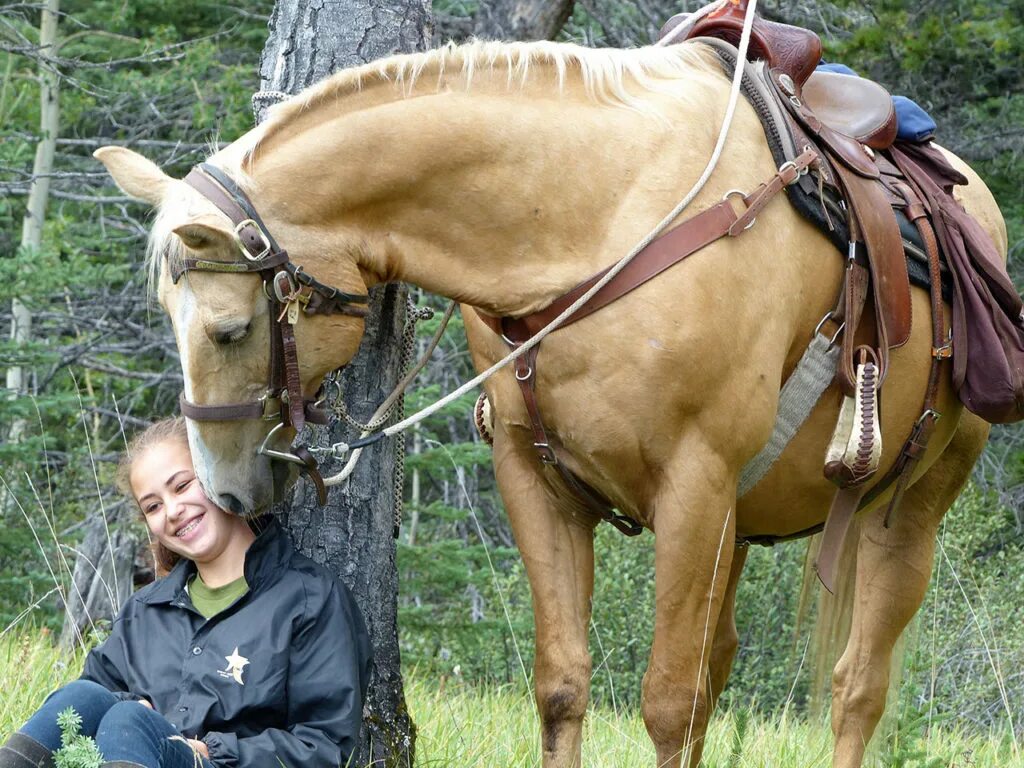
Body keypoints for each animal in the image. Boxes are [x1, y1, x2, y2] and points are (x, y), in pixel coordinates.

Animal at [96, 41, 1007, 768]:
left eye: (229, 328)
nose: (224, 489)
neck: (595, 219)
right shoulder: (538, 482)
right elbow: (565, 687)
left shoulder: (695, 485)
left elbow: (666, 702)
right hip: (739, 527)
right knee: (722, 666)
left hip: (905, 511)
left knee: (856, 691)